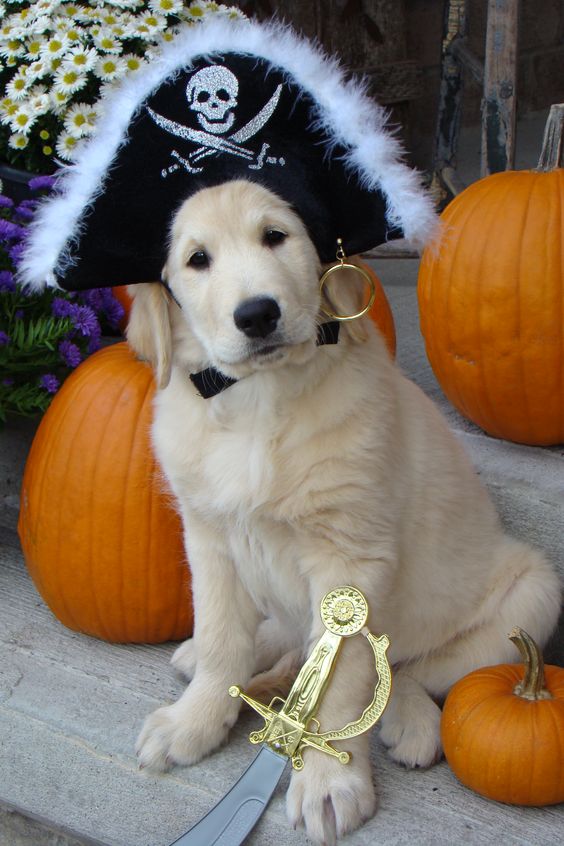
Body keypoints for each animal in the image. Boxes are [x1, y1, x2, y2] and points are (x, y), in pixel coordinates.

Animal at [126, 179, 560, 840]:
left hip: (530, 596)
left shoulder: (352, 561)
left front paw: (330, 782)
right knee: (282, 640)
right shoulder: (209, 537)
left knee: (411, 673)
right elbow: (223, 636)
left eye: (276, 236)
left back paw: (411, 724)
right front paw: (194, 722)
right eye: (198, 259)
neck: (258, 401)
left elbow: (343, 682)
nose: (258, 314)